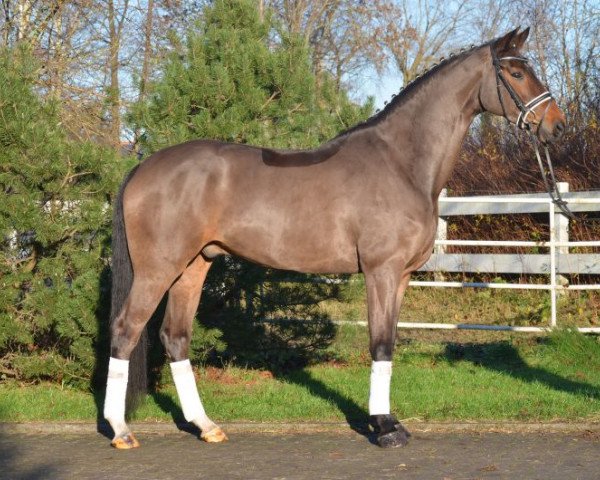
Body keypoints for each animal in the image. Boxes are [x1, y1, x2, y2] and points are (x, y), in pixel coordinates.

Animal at [104, 28, 568, 448]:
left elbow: (390, 341)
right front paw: (384, 428)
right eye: (516, 72)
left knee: (176, 336)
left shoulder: (400, 277)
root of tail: (141, 167)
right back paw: (121, 430)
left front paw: (390, 422)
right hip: (159, 268)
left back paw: (206, 426)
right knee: (127, 329)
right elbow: (379, 344)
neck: (401, 162)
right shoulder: (381, 272)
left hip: (195, 264)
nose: (556, 124)